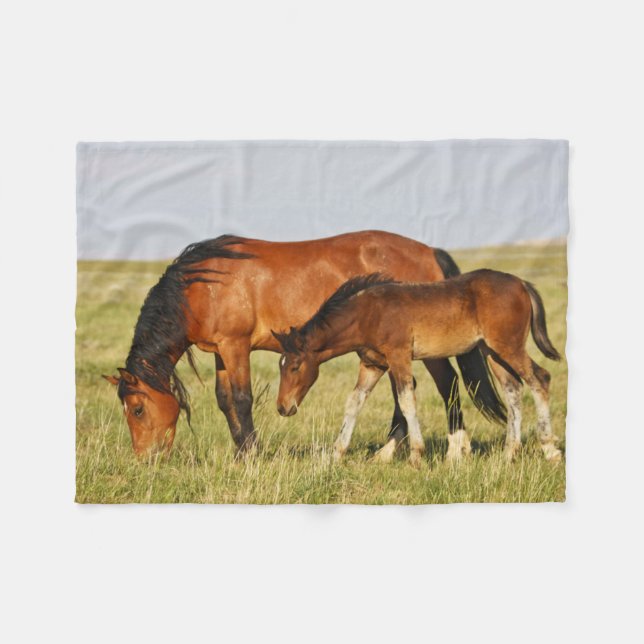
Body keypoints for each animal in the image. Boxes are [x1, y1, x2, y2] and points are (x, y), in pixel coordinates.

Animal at [103, 231, 506, 457]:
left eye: (136, 409)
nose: (147, 459)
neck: (203, 286)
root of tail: (428, 251)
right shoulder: (220, 352)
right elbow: (224, 401)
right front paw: (240, 452)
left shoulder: (236, 347)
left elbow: (241, 400)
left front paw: (252, 456)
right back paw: (388, 452)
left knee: (446, 384)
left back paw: (456, 449)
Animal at [273, 271, 562, 466]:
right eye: (281, 366)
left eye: (295, 366)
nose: (283, 407)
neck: (368, 313)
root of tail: (522, 284)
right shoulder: (372, 364)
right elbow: (354, 402)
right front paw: (336, 454)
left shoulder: (399, 356)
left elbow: (406, 400)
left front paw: (415, 455)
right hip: (492, 352)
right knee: (514, 390)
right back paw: (508, 453)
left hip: (509, 347)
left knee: (540, 378)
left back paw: (550, 449)